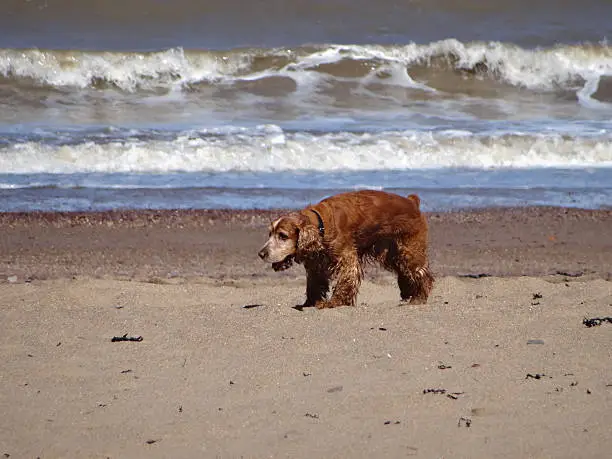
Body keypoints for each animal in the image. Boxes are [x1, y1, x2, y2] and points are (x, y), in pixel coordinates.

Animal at [256, 189, 432, 310]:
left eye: (283, 236)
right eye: (270, 234)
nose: (261, 254)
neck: (322, 223)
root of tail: (412, 201)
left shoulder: (347, 259)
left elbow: (345, 281)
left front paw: (333, 303)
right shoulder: (316, 264)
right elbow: (313, 285)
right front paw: (309, 303)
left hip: (409, 250)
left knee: (422, 274)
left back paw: (418, 298)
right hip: (391, 253)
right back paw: (408, 293)